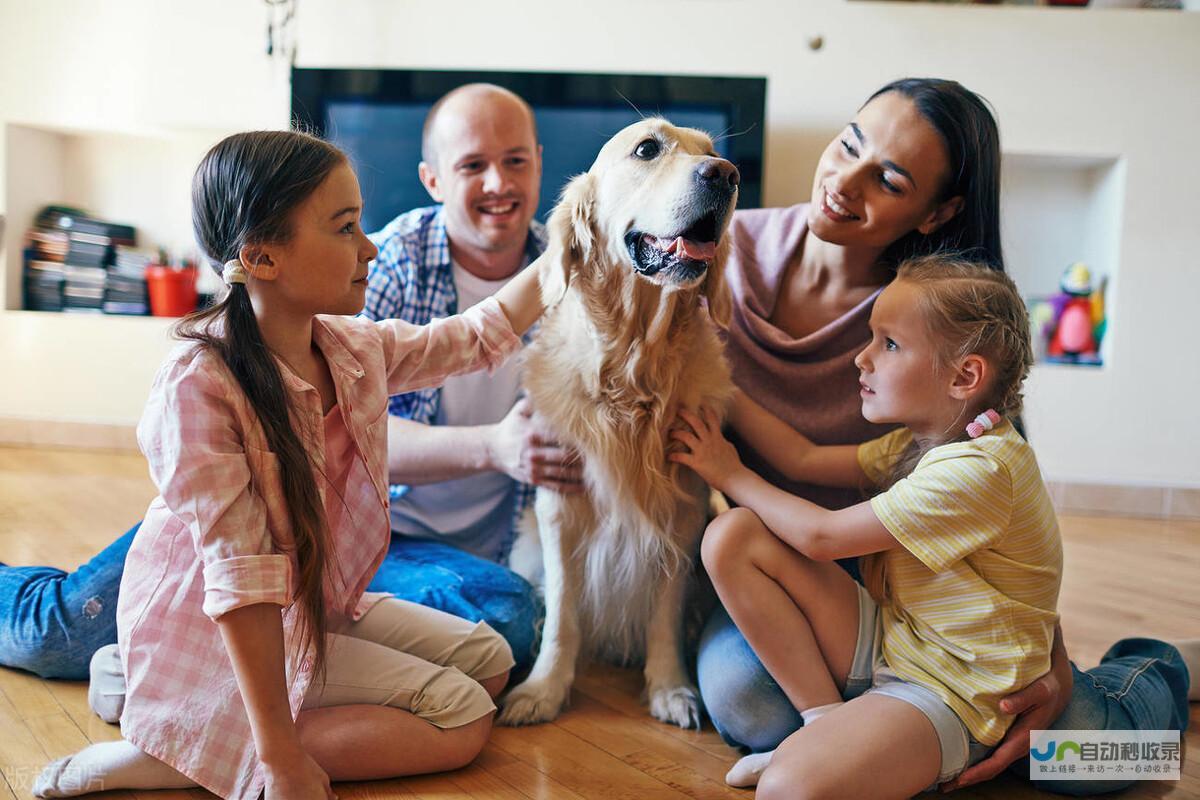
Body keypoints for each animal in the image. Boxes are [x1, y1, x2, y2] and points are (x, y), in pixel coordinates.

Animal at [499, 120, 739, 734]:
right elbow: (563, 609)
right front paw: (544, 689)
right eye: (648, 148)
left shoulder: (685, 510)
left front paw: (670, 687)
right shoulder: (558, 505)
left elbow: (665, 612)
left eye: (711, 150)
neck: (634, 366)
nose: (726, 174)